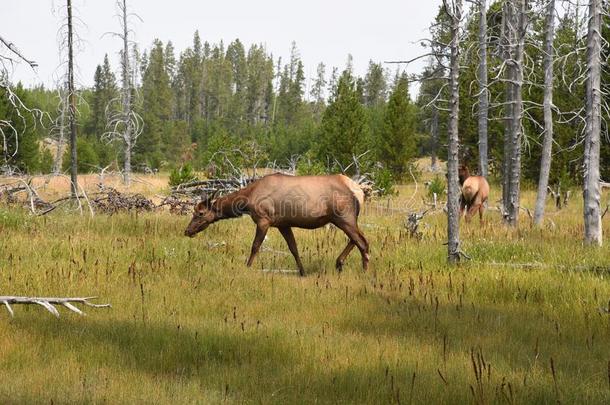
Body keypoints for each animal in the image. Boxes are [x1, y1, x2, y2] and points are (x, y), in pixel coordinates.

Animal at [183, 172, 368, 276]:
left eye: (200, 213)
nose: (187, 231)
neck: (247, 201)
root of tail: (359, 191)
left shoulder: (264, 220)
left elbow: (255, 246)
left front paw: (247, 267)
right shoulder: (283, 224)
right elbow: (293, 249)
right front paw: (302, 272)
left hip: (344, 217)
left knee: (362, 242)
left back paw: (364, 270)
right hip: (345, 219)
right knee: (357, 239)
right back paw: (339, 263)